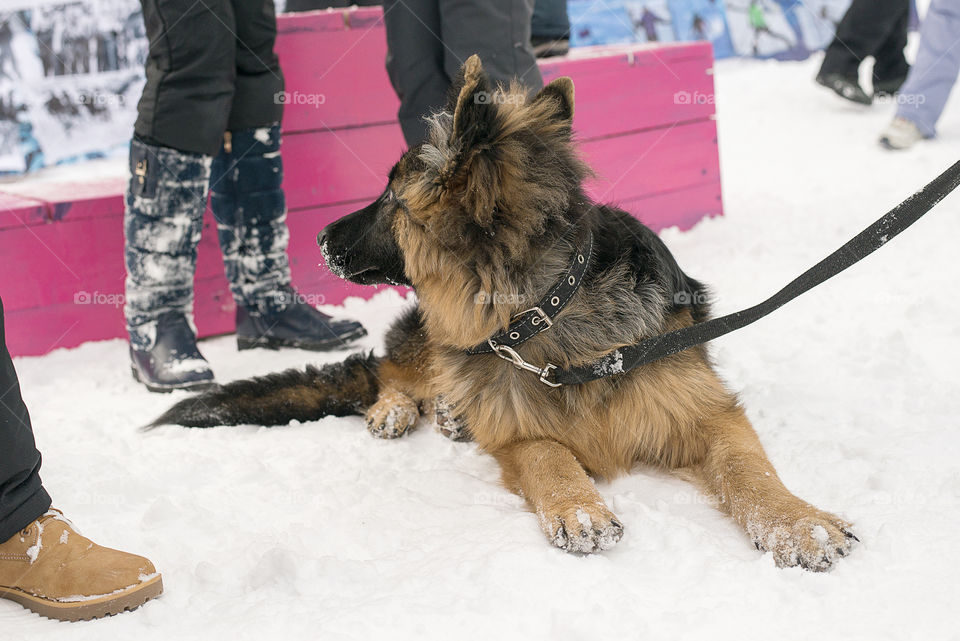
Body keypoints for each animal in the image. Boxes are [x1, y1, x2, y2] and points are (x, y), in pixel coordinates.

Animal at [154, 52, 860, 568]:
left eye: (392, 201)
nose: (320, 238)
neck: (549, 313)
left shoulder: (706, 412)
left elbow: (750, 468)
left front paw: (799, 523)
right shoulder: (517, 432)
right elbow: (549, 455)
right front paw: (578, 507)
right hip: (435, 338)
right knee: (391, 372)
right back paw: (402, 408)